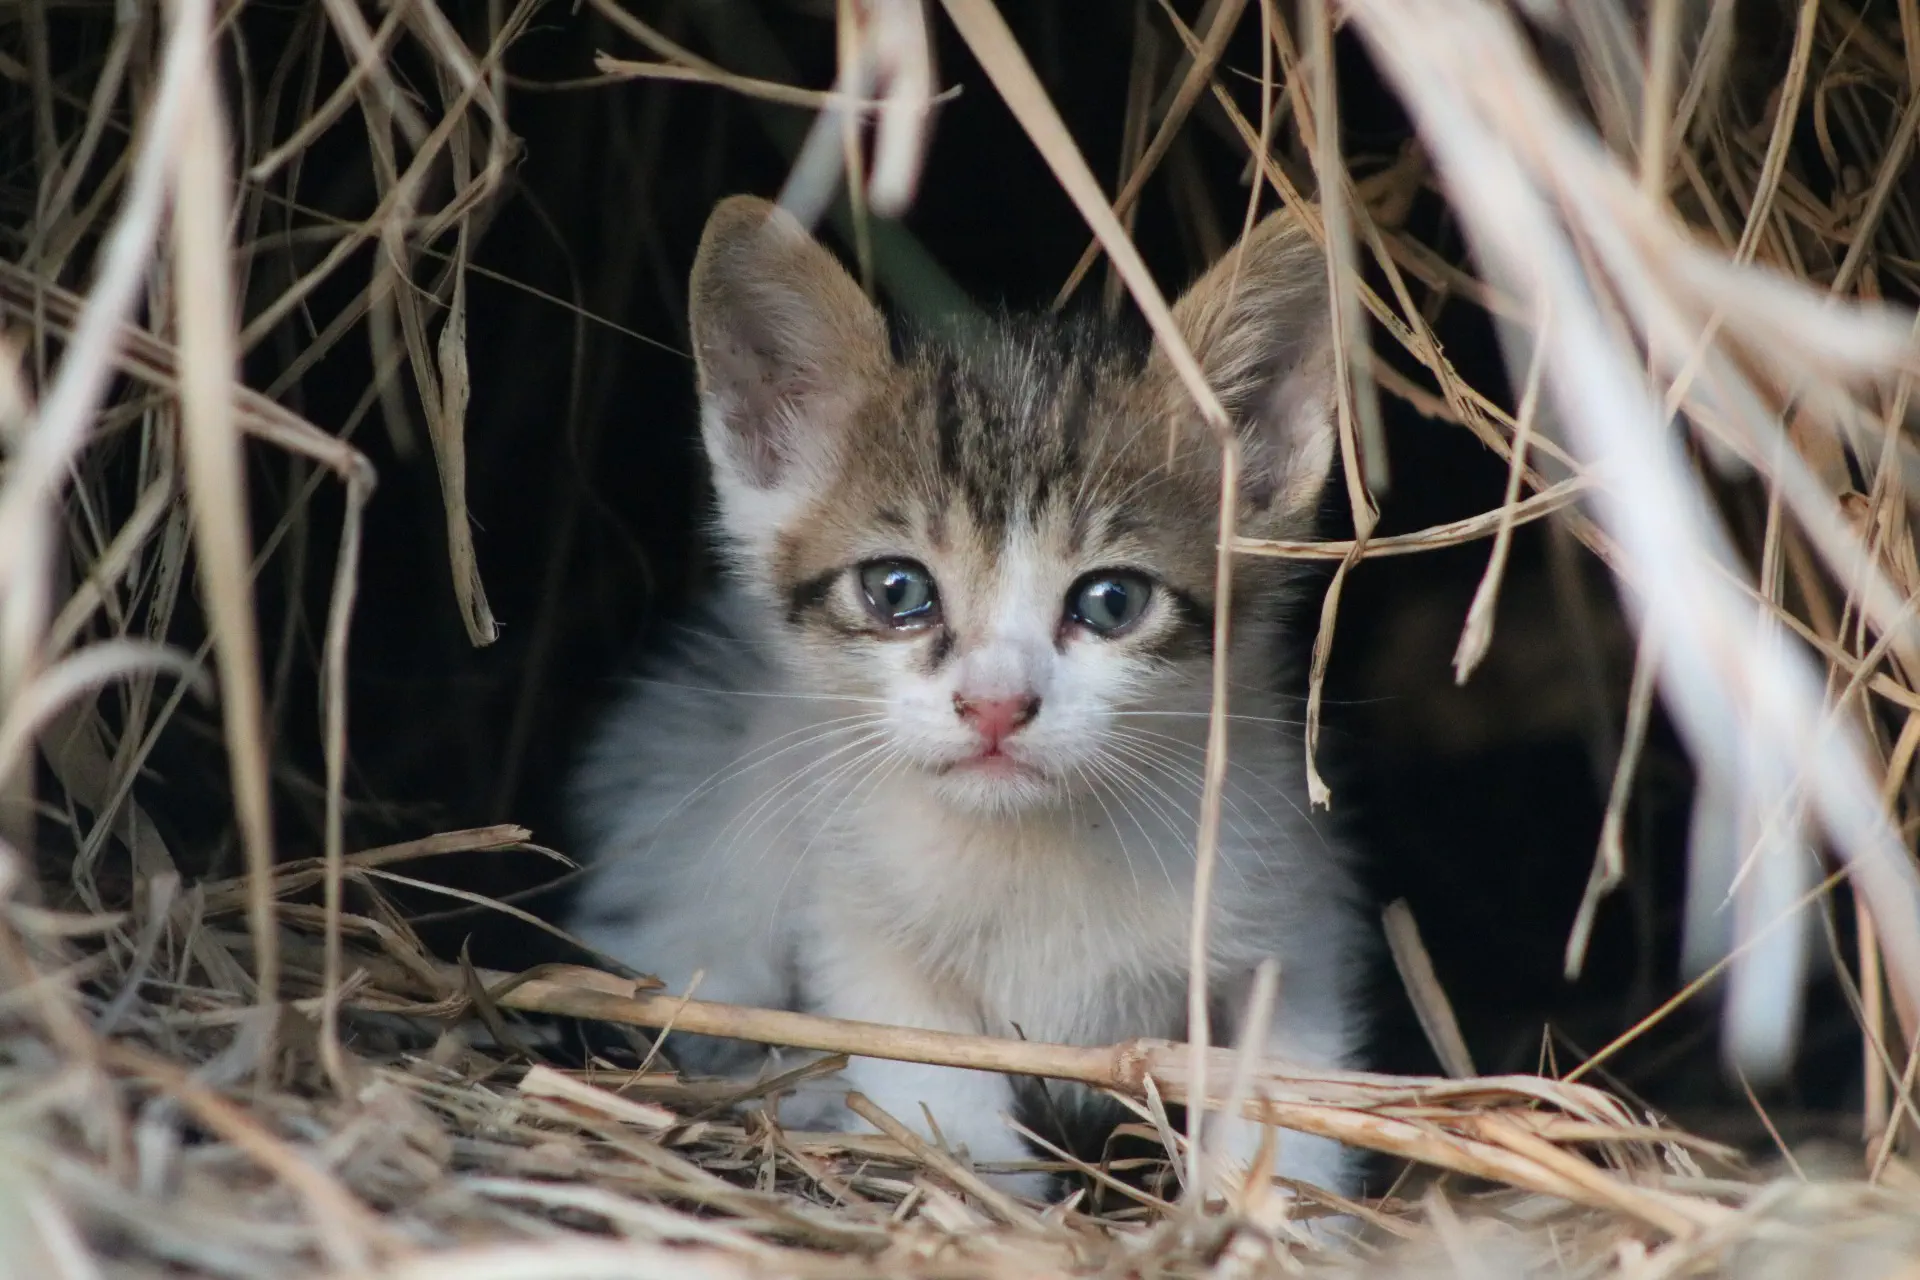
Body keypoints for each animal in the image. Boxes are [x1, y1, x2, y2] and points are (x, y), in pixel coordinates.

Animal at [566, 194, 1371, 1203]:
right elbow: (931, 1086)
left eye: (1112, 601)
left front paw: (1271, 1205)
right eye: (897, 589)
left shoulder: (1293, 916)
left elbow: (1294, 1086)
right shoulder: (859, 929)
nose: (995, 705)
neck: (1036, 851)